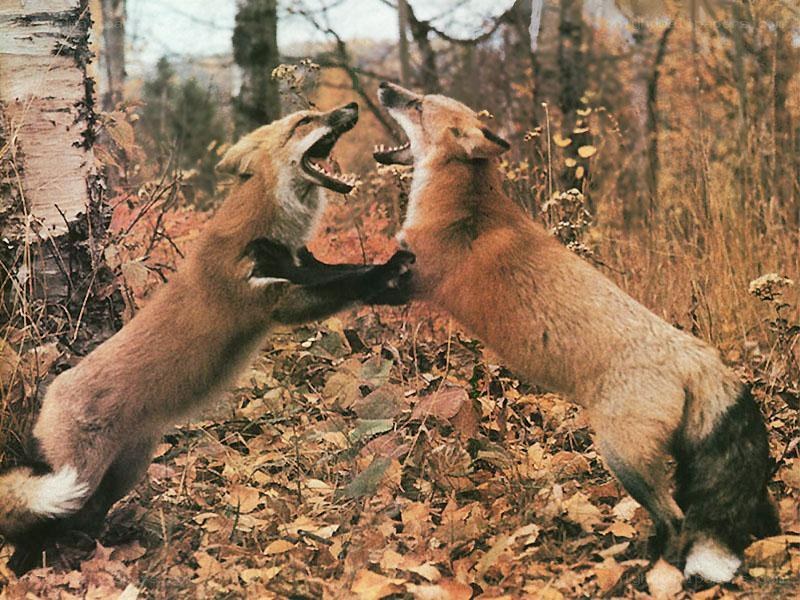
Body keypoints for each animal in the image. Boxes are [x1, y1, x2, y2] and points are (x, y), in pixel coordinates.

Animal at [0, 102, 414, 574]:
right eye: (304, 121)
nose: (351, 107)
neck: (262, 226)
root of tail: (51, 394)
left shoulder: (299, 273)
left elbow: (345, 273)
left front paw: (398, 281)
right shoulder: (274, 300)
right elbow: (348, 280)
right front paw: (389, 273)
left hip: (123, 472)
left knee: (83, 518)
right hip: (77, 480)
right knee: (34, 527)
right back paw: (28, 568)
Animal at [372, 81, 778, 583]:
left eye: (417, 104)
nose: (384, 87)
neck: (464, 205)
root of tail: (698, 356)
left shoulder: (412, 279)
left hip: (623, 457)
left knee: (676, 520)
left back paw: (653, 572)